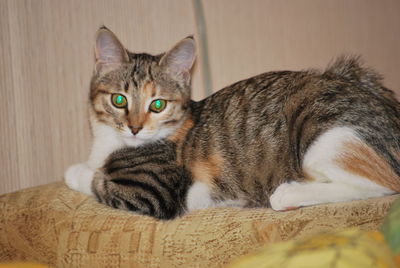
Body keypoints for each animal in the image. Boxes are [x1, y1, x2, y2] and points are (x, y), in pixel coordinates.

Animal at [65, 26, 400, 220]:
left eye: (157, 105)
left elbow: (98, 181)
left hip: (323, 135)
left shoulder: (155, 193)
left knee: (384, 184)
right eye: (118, 100)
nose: (135, 128)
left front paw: (77, 171)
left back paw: (288, 195)